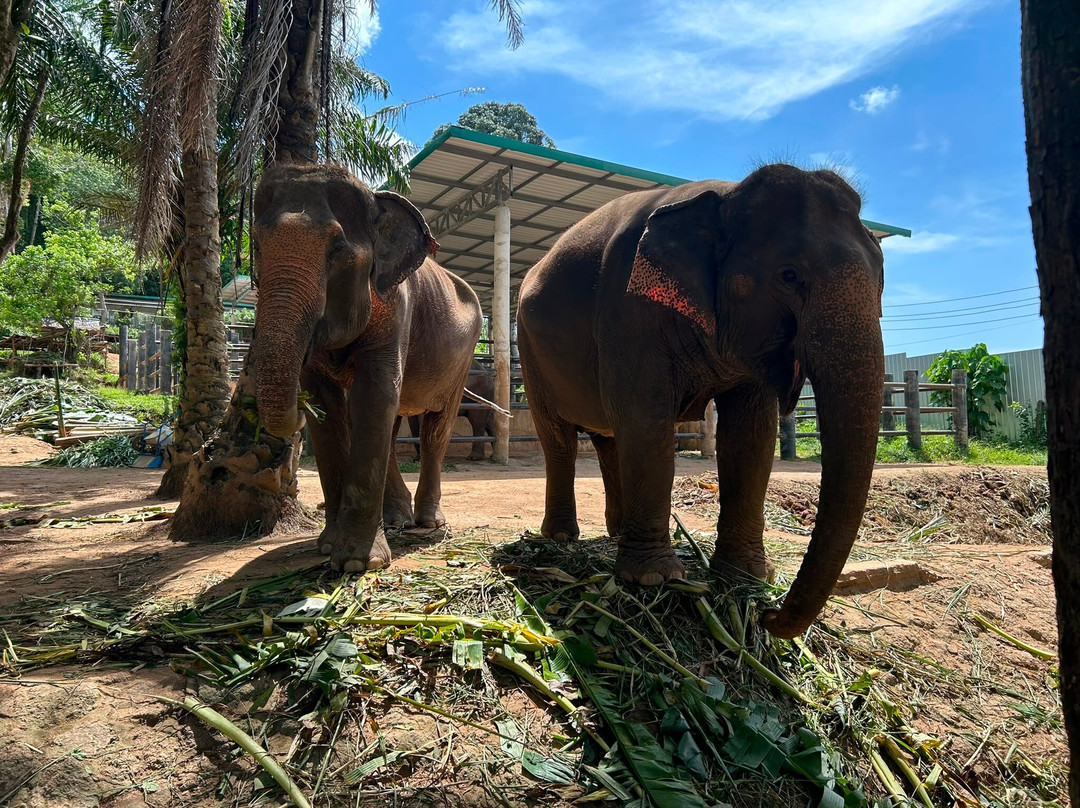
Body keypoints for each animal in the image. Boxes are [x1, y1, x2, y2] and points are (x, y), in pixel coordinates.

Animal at [251, 163, 482, 573]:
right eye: (257, 246)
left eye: (337, 249)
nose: (297, 407)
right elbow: (330, 409)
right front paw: (327, 547)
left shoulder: (396, 308)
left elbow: (375, 393)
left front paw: (358, 563)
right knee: (393, 425)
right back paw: (396, 520)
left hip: (464, 357)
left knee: (437, 427)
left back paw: (428, 523)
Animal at [516, 163, 884, 639]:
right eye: (788, 275)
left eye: (882, 280)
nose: (769, 617)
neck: (727, 196)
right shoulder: (628, 309)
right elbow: (647, 420)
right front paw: (655, 579)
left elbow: (750, 437)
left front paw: (747, 577)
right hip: (530, 351)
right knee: (559, 438)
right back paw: (562, 538)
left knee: (610, 437)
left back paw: (616, 534)